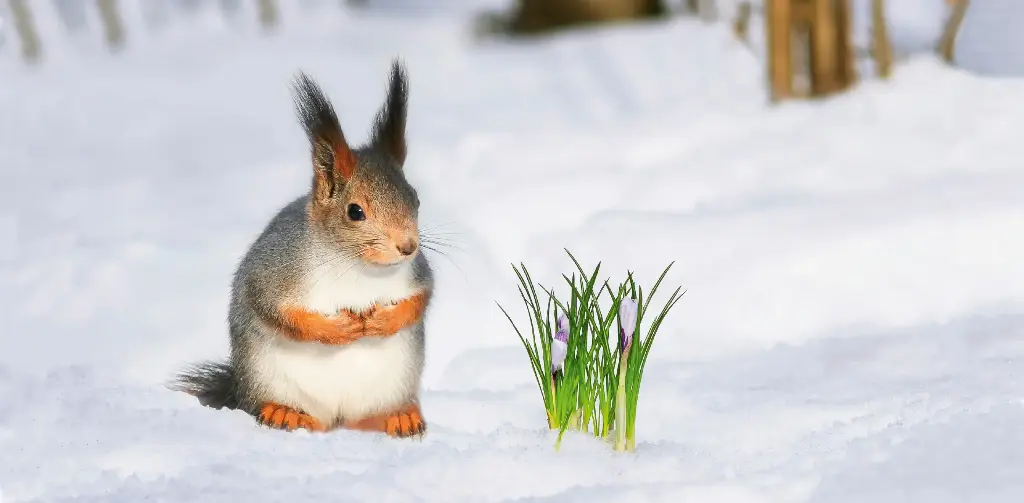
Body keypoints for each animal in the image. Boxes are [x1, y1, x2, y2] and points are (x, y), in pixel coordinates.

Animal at [171, 59, 433, 438]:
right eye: (355, 212)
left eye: (415, 198)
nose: (408, 246)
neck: (355, 265)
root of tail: (333, 417)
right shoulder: (274, 269)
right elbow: (276, 311)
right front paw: (337, 330)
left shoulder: (417, 272)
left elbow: (421, 297)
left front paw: (386, 320)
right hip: (267, 379)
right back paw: (285, 413)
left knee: (361, 420)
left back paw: (395, 417)